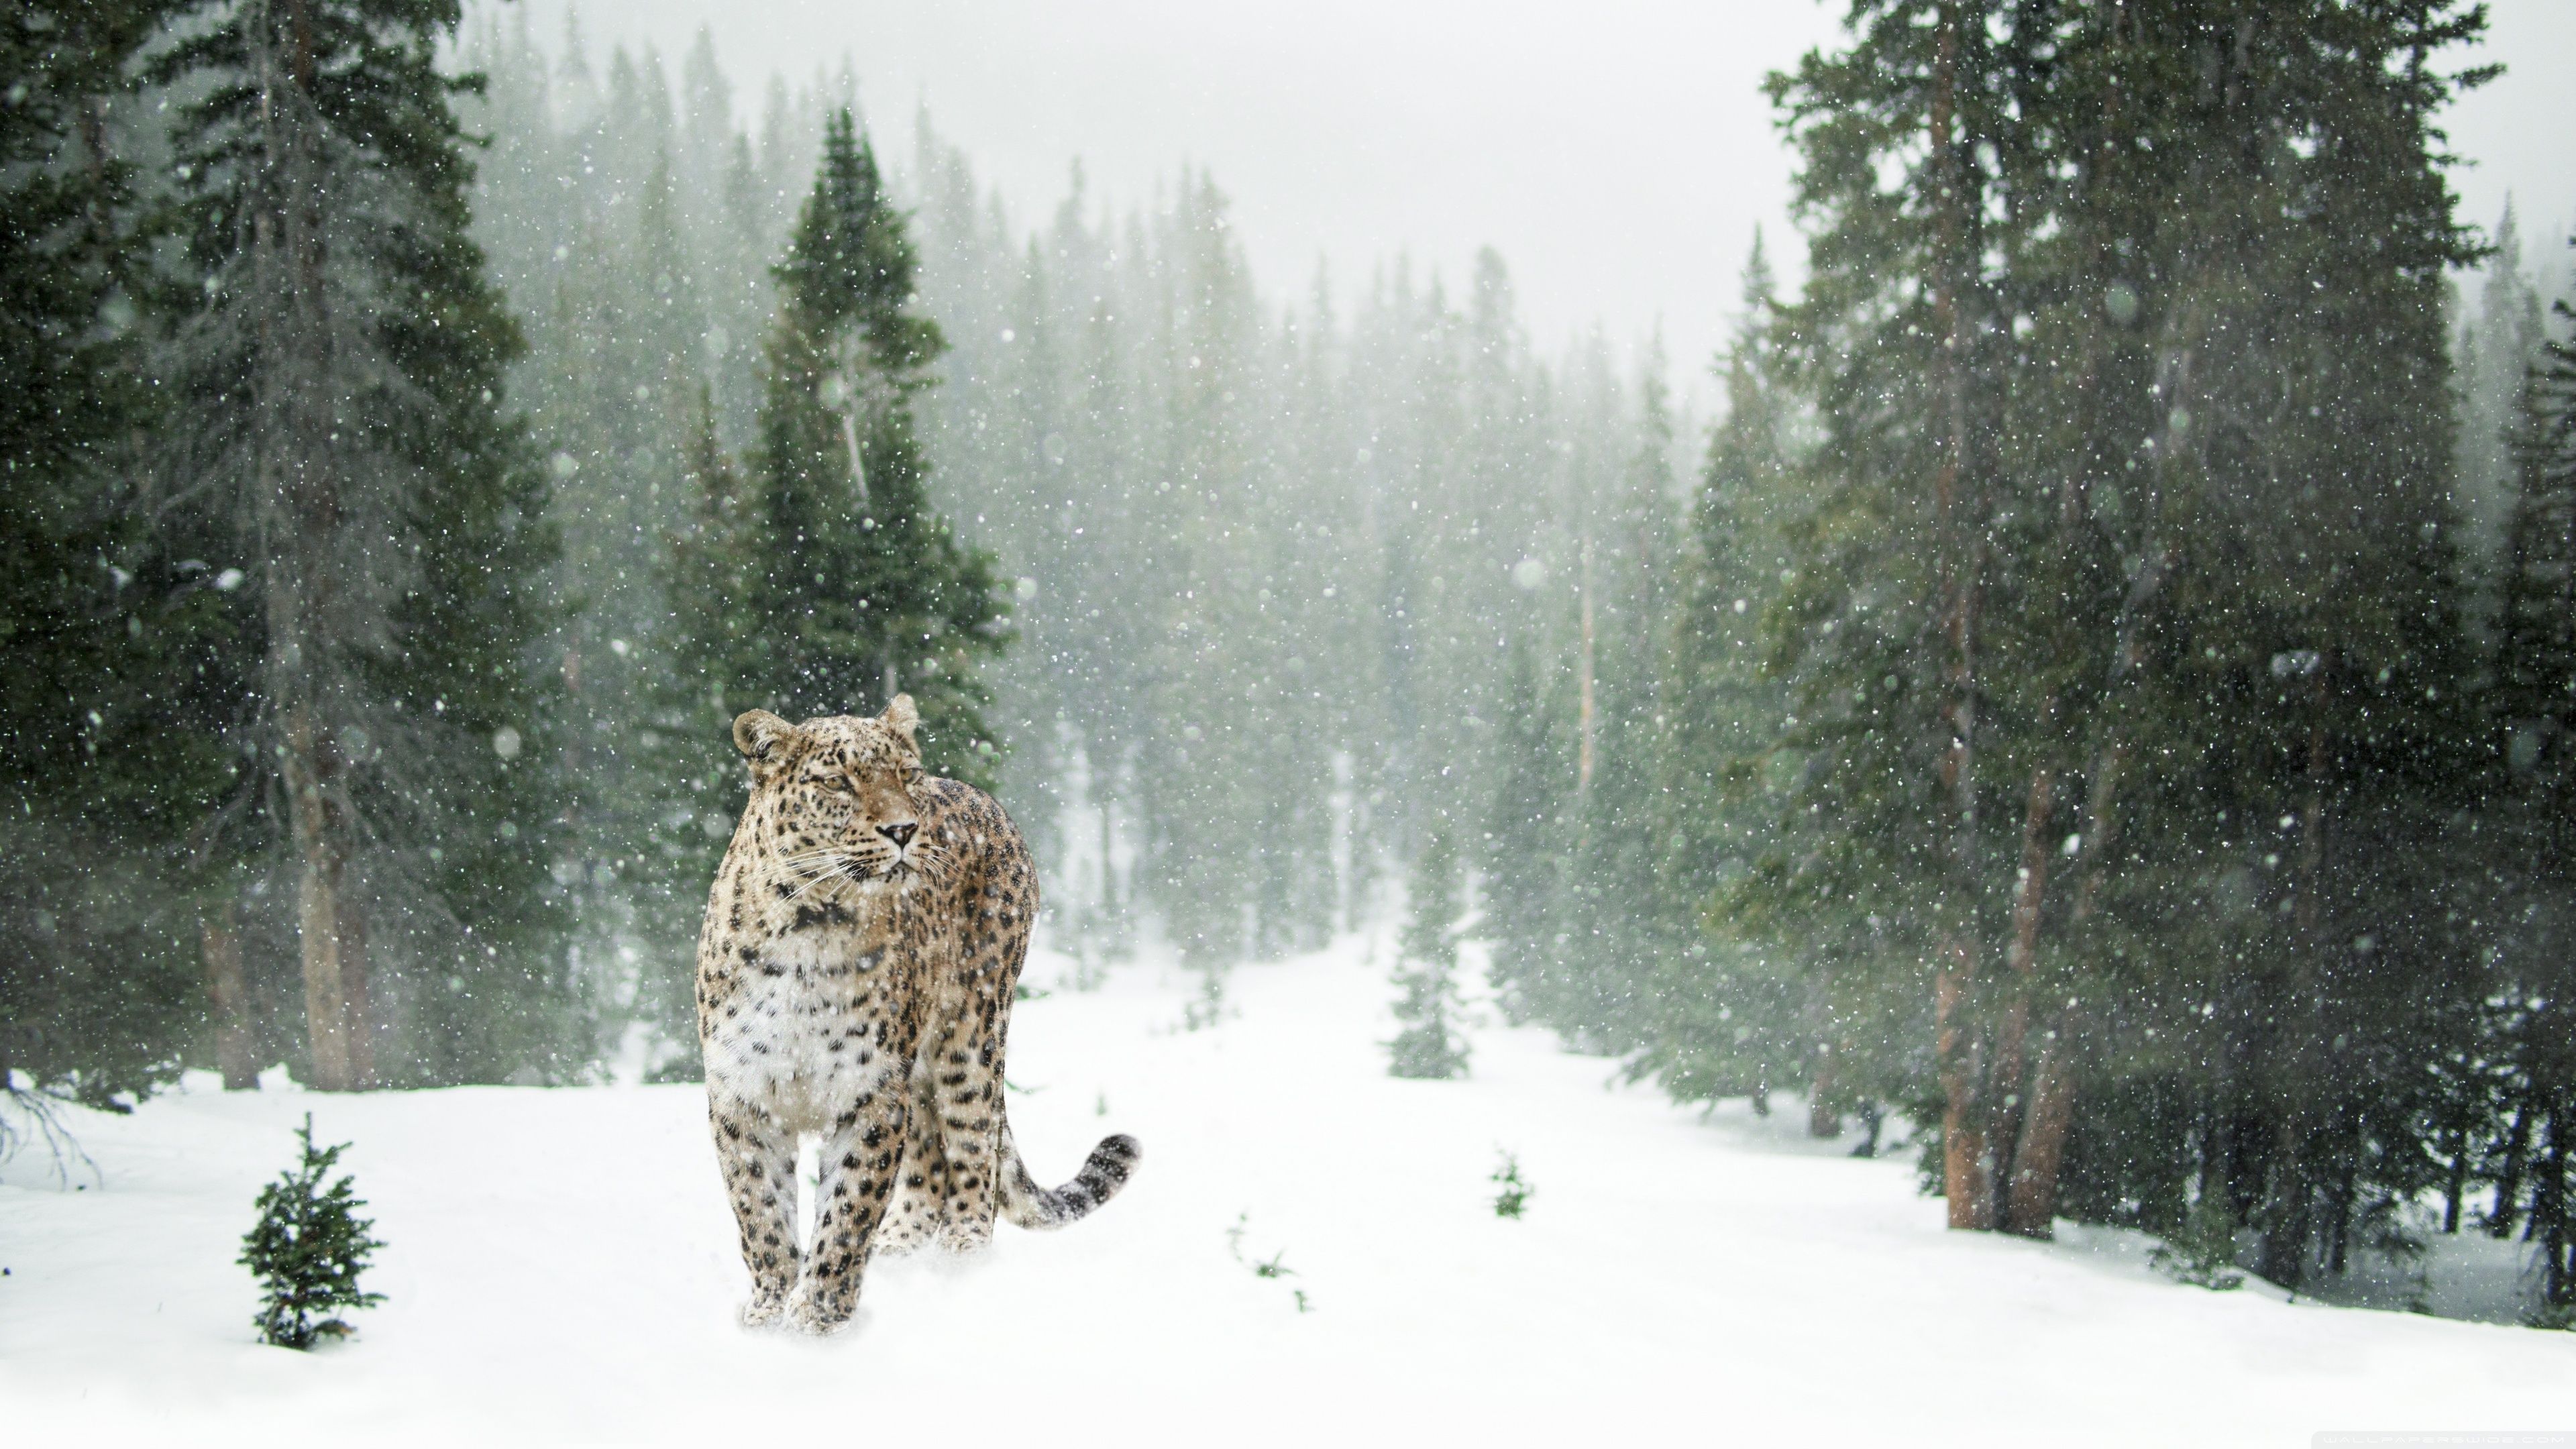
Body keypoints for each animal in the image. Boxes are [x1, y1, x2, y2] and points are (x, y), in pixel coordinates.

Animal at [694, 695, 1139, 1334]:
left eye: (905, 775)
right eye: (837, 782)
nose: (904, 830)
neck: (811, 927)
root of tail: (985, 798)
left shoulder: (871, 1094)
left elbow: (847, 1212)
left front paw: (818, 1319)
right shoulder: (744, 1096)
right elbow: (761, 1214)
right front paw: (769, 1313)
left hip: (971, 1037)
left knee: (974, 1151)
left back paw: (960, 1261)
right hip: (923, 1070)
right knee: (930, 1157)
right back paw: (902, 1251)